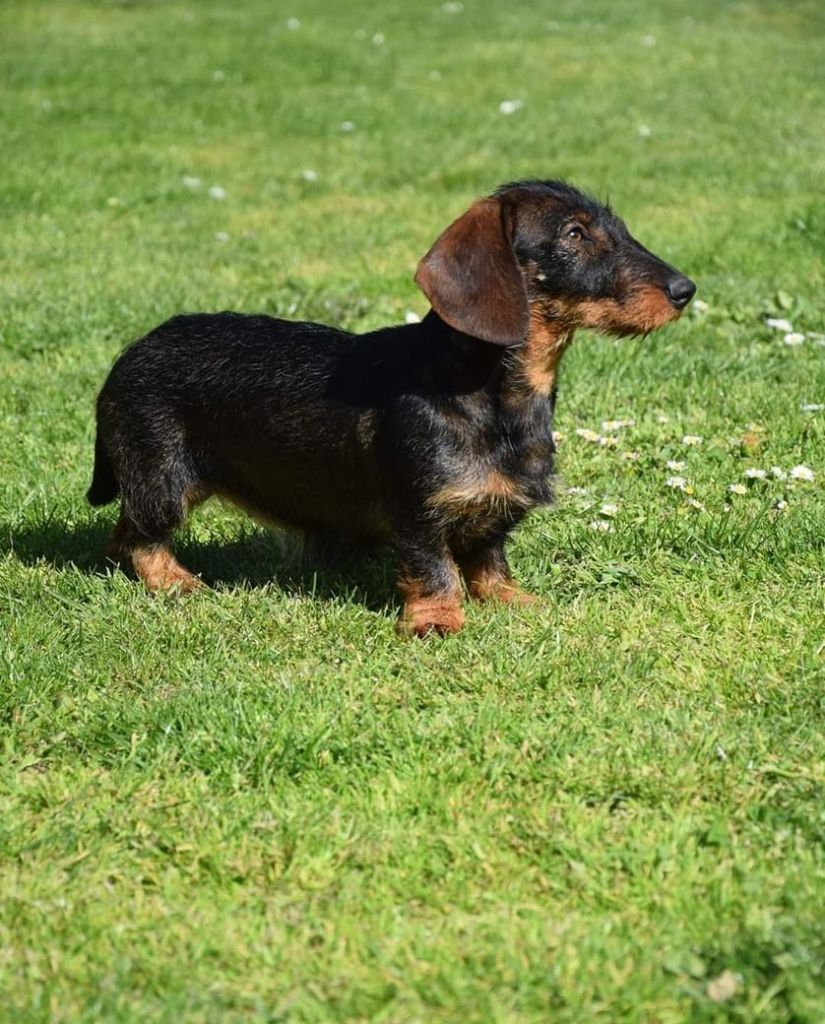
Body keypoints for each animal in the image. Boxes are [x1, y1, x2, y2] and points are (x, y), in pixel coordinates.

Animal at [89, 180, 696, 634]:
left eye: (617, 230)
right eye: (574, 233)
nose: (686, 290)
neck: (493, 397)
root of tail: (130, 354)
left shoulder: (494, 509)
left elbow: (488, 559)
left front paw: (510, 599)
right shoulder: (418, 507)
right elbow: (434, 566)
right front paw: (437, 620)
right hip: (164, 481)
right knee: (136, 539)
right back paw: (178, 584)